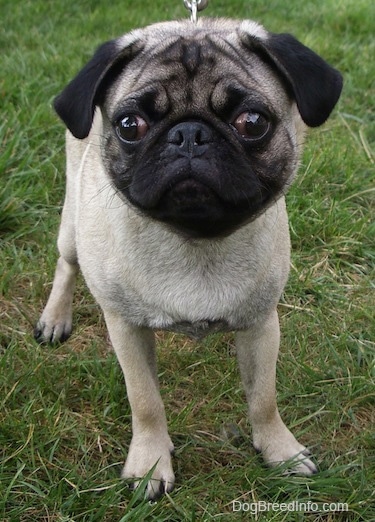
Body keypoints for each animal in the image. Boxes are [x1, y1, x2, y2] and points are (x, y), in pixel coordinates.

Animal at [35, 18, 344, 498]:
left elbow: (264, 398)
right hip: (72, 225)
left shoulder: (261, 323)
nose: (189, 135)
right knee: (67, 264)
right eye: (130, 125)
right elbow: (145, 400)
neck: (195, 242)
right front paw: (149, 463)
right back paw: (55, 318)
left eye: (252, 122)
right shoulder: (125, 327)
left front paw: (280, 450)